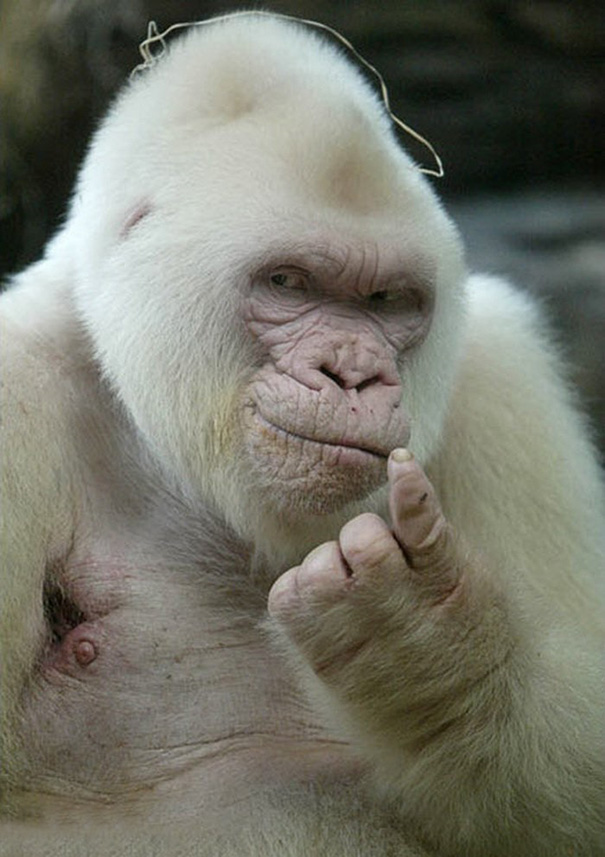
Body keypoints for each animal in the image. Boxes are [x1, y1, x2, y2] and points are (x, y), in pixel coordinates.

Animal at [1, 13, 603, 857]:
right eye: (287, 283)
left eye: (387, 300)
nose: (351, 373)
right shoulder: (11, 390)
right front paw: (413, 638)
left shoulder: (499, 376)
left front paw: (425, 654)